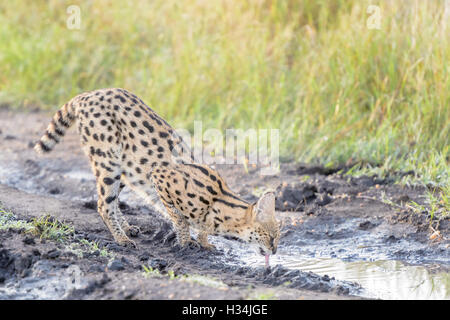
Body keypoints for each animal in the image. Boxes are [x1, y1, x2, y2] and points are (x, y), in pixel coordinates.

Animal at [36, 87, 282, 255]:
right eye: (271, 237)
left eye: (277, 237)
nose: (275, 251)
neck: (218, 203)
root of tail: (87, 95)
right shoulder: (160, 177)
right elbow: (180, 219)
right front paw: (187, 242)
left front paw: (204, 242)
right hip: (108, 160)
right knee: (103, 204)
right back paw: (121, 239)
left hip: (125, 166)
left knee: (112, 201)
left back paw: (127, 228)